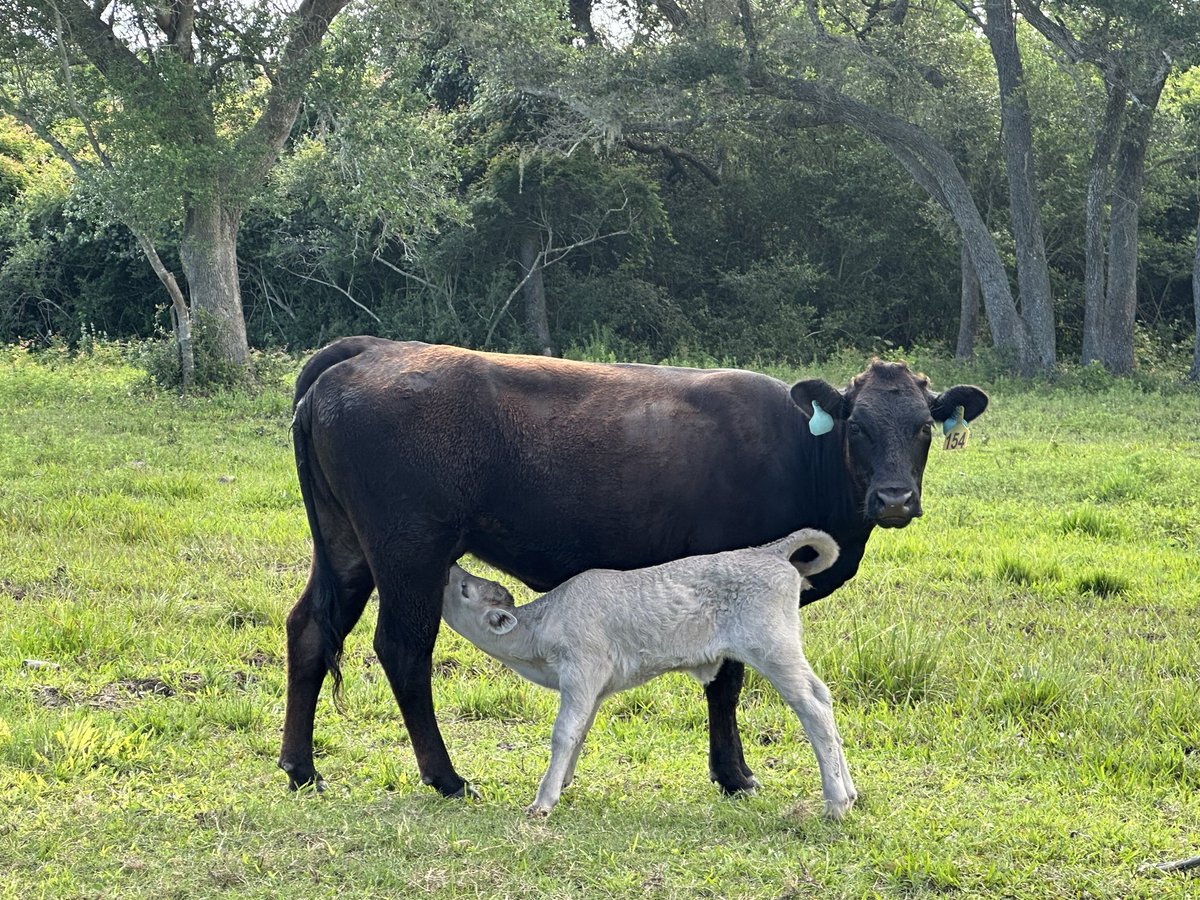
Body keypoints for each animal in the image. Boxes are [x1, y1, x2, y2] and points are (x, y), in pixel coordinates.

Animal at [279, 336, 988, 798]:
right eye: (857, 426)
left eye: (924, 427)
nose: (894, 499)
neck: (798, 451)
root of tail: (369, 351)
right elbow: (726, 681)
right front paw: (734, 775)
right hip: (410, 550)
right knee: (403, 648)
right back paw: (447, 778)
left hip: (346, 545)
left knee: (309, 627)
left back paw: (301, 768)